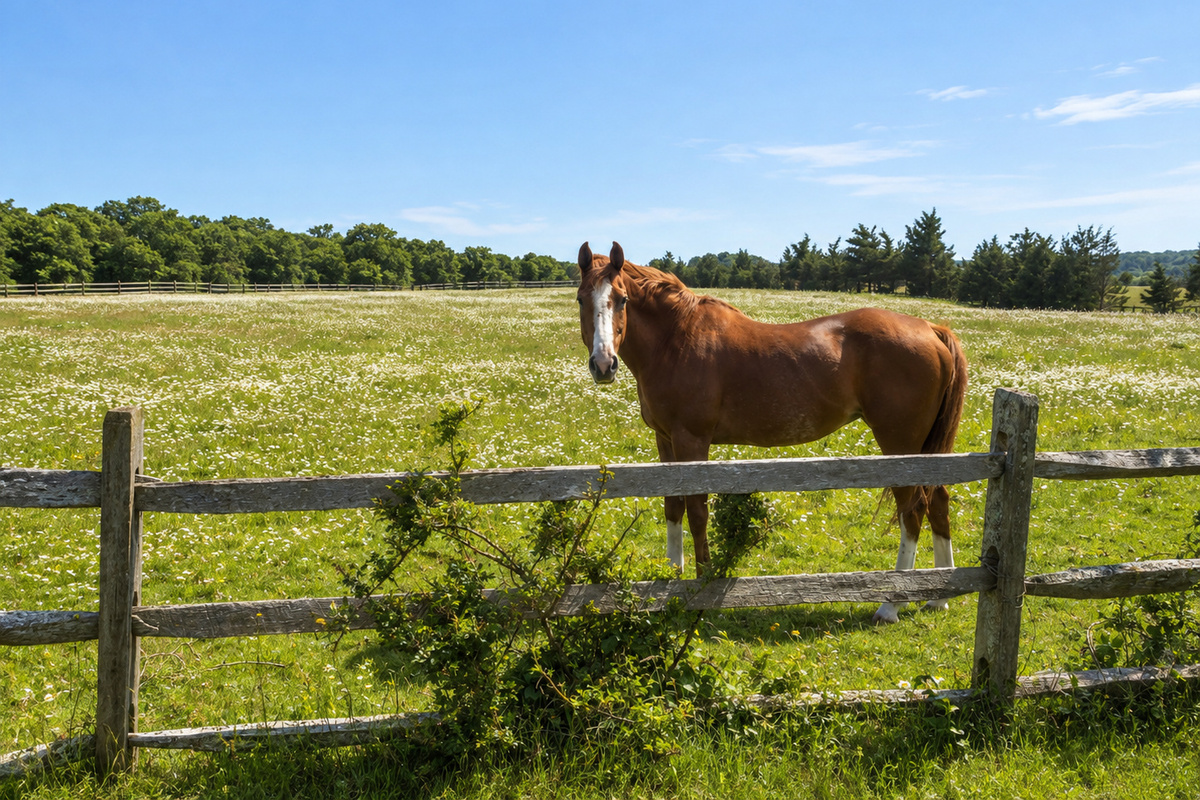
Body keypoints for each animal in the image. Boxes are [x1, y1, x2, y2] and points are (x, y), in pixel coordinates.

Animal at [576, 241, 968, 624]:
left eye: (622, 299)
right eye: (581, 298)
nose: (603, 364)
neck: (676, 339)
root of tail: (930, 328)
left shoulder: (692, 440)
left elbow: (697, 511)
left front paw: (701, 588)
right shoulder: (666, 439)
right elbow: (673, 507)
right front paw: (671, 581)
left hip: (900, 443)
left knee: (912, 510)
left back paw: (891, 605)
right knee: (938, 501)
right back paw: (939, 597)